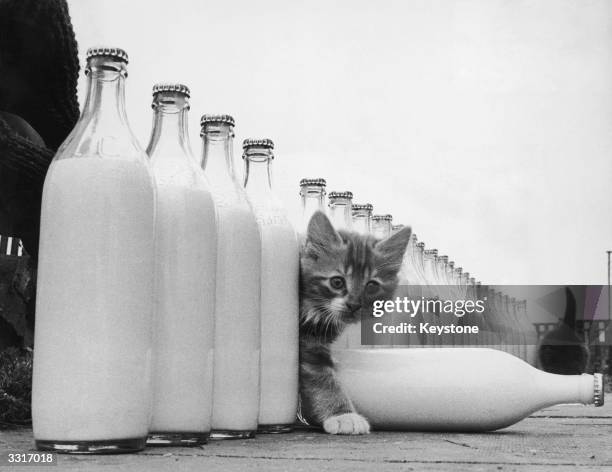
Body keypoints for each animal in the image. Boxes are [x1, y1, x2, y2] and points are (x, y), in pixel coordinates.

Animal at [298, 211, 412, 436]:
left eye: (371, 285)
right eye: (337, 282)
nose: (353, 305)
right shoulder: (307, 343)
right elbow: (323, 379)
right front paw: (343, 416)